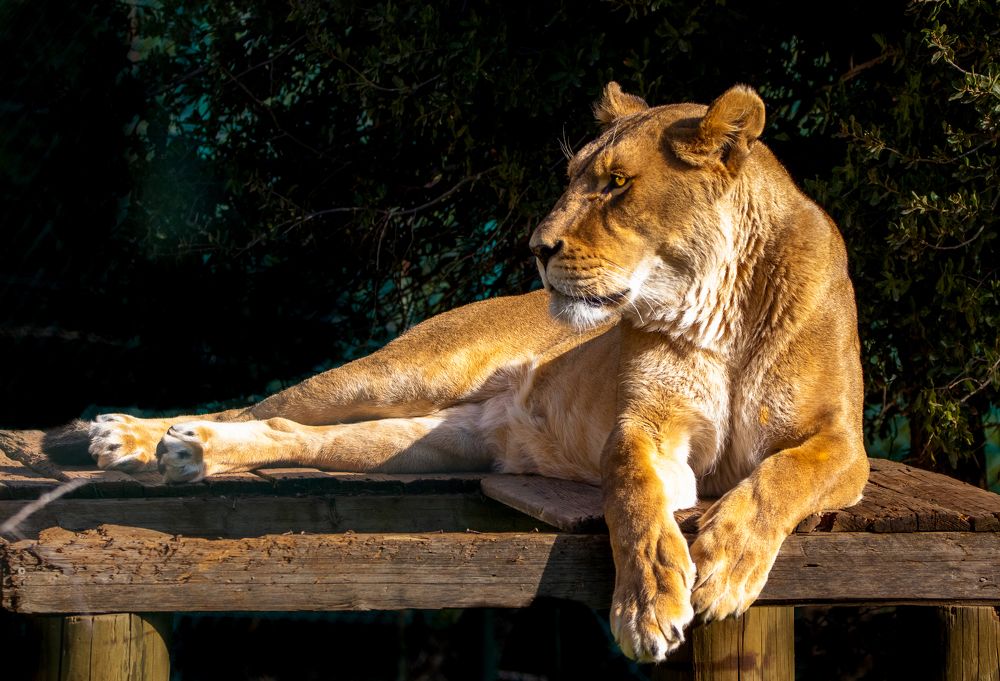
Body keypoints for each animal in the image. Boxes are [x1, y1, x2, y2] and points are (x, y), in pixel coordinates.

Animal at [45, 83, 869, 662]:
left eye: (614, 184)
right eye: (575, 177)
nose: (536, 247)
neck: (710, 306)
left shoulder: (845, 443)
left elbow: (783, 475)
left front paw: (725, 561)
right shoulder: (643, 429)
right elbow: (635, 500)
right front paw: (647, 604)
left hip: (425, 438)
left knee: (287, 430)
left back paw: (183, 450)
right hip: (398, 373)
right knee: (264, 405)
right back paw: (128, 437)